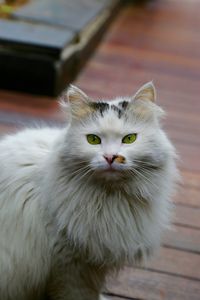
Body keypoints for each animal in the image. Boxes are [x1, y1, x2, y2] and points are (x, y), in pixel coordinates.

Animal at [0, 82, 178, 300]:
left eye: (129, 139)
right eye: (93, 140)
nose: (110, 157)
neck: (109, 203)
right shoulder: (69, 265)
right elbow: (80, 294)